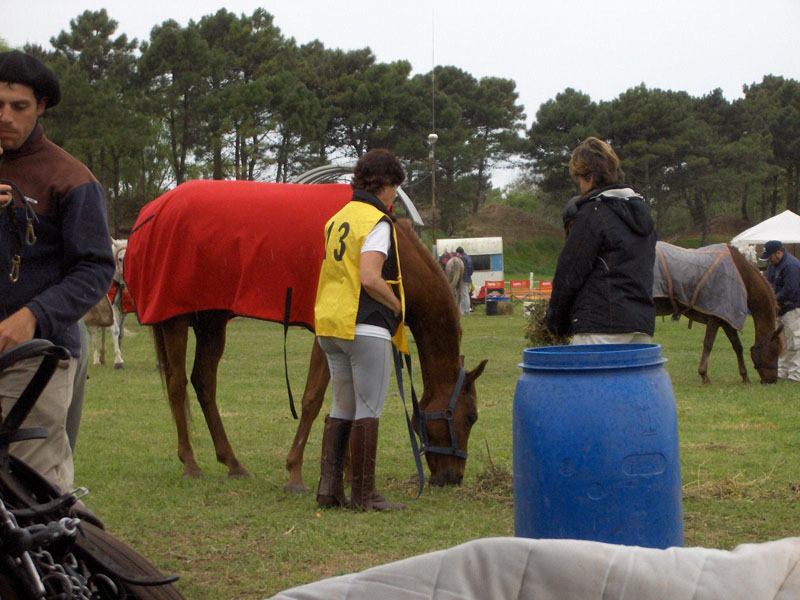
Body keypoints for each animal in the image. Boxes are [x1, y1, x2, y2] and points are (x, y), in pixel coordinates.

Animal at [126, 180, 488, 486]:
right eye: (471, 416)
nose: (453, 477)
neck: (388, 255)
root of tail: (152, 212)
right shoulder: (328, 335)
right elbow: (313, 399)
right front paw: (296, 470)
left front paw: (347, 469)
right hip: (175, 319)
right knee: (177, 385)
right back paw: (190, 464)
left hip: (212, 323)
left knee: (203, 382)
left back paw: (233, 462)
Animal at [656, 243, 780, 384]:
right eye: (774, 351)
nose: (772, 380)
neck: (741, 273)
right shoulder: (716, 317)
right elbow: (708, 344)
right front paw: (704, 375)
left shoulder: (727, 320)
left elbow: (738, 346)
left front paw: (745, 376)